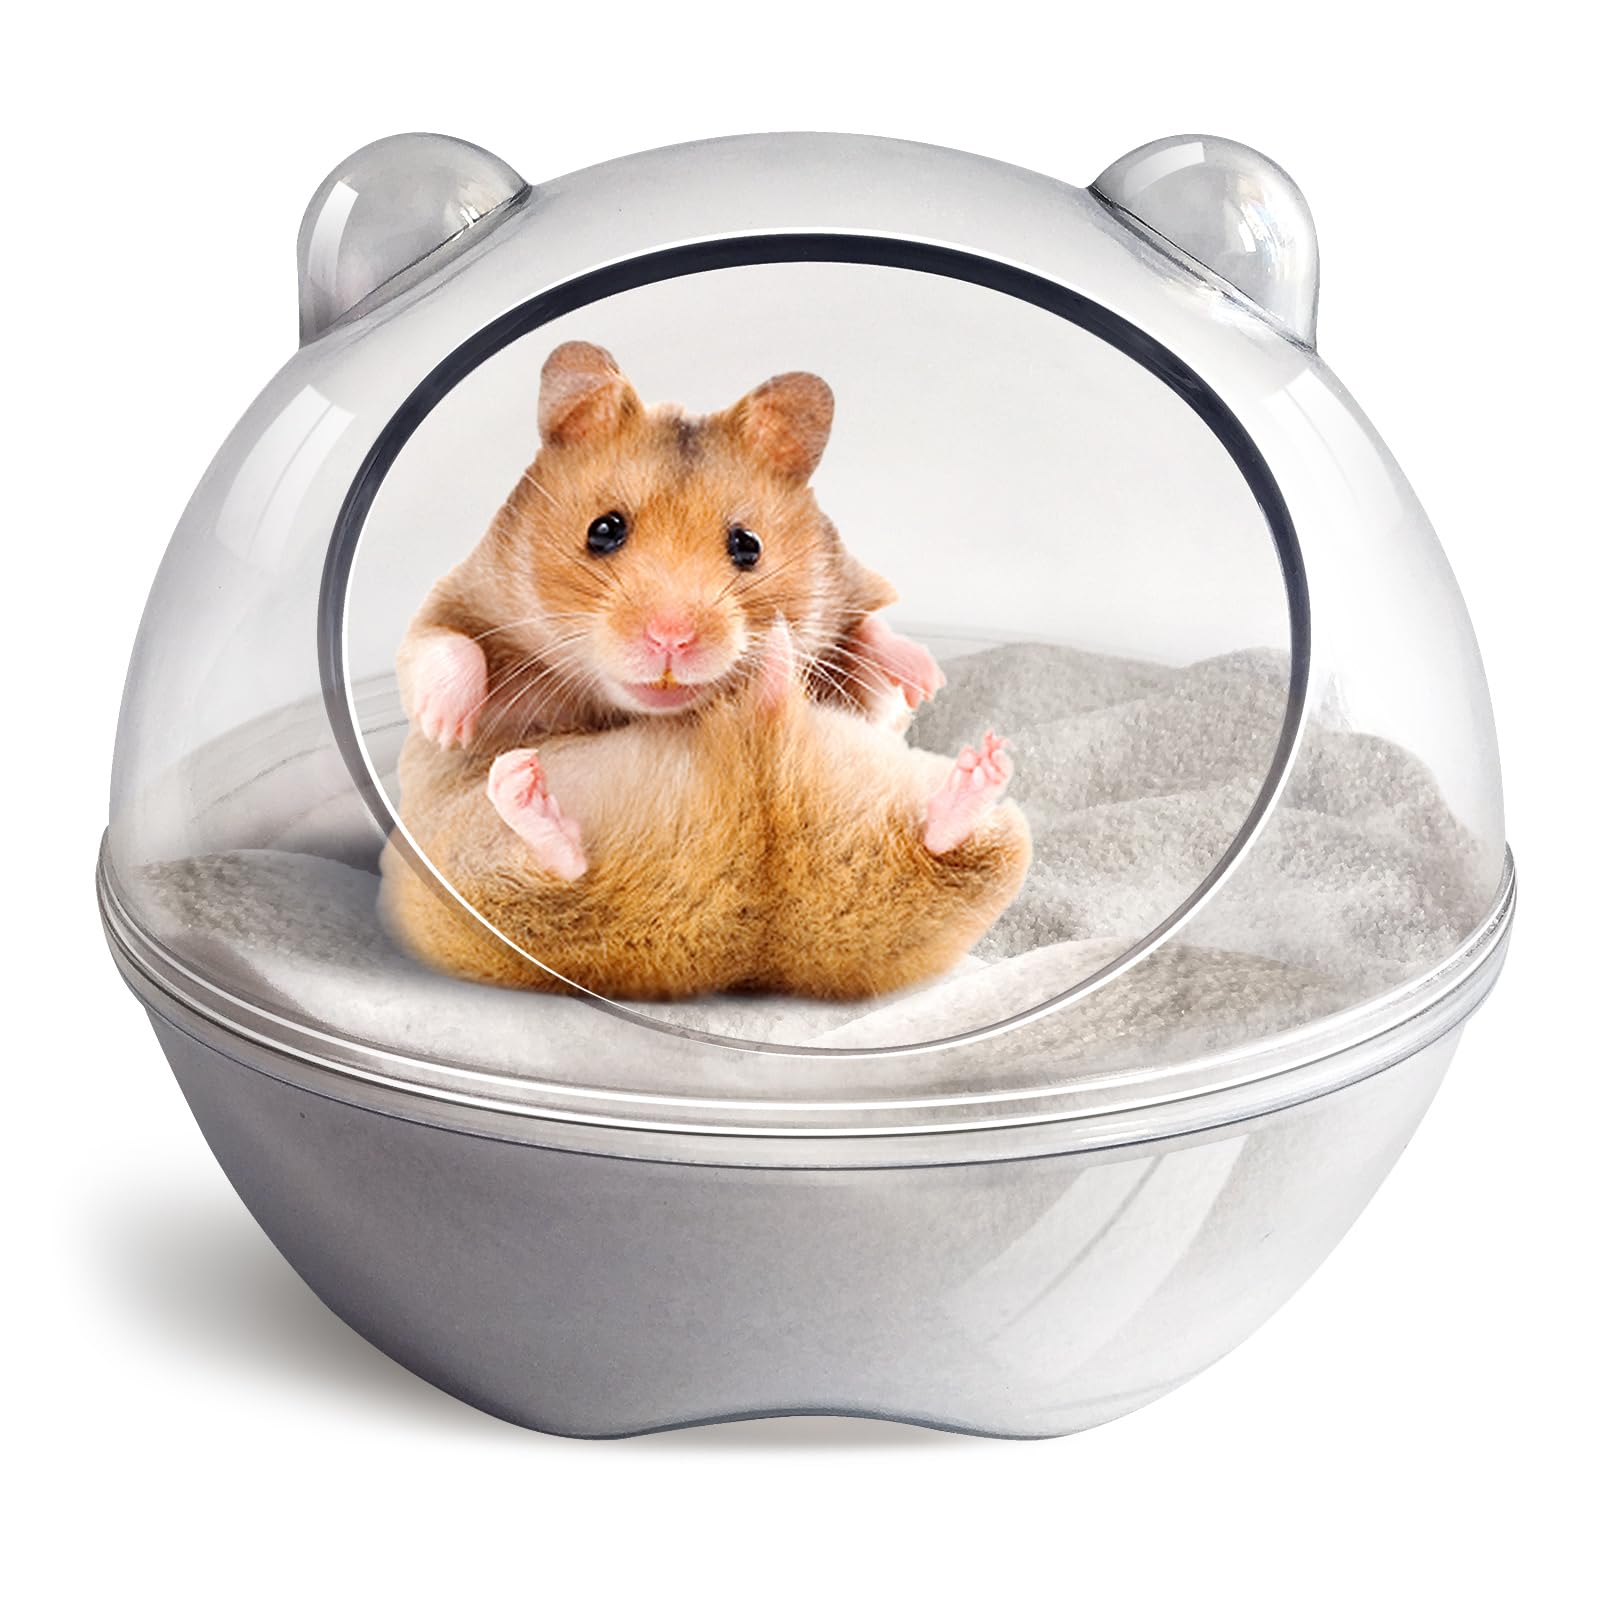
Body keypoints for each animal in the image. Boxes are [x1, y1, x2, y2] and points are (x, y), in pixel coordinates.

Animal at [396, 340, 945, 752]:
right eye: (603, 530)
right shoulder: (459, 594)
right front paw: (446, 729)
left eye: (748, 546)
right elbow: (444, 643)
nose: (670, 640)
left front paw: (928, 680)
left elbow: (872, 638)